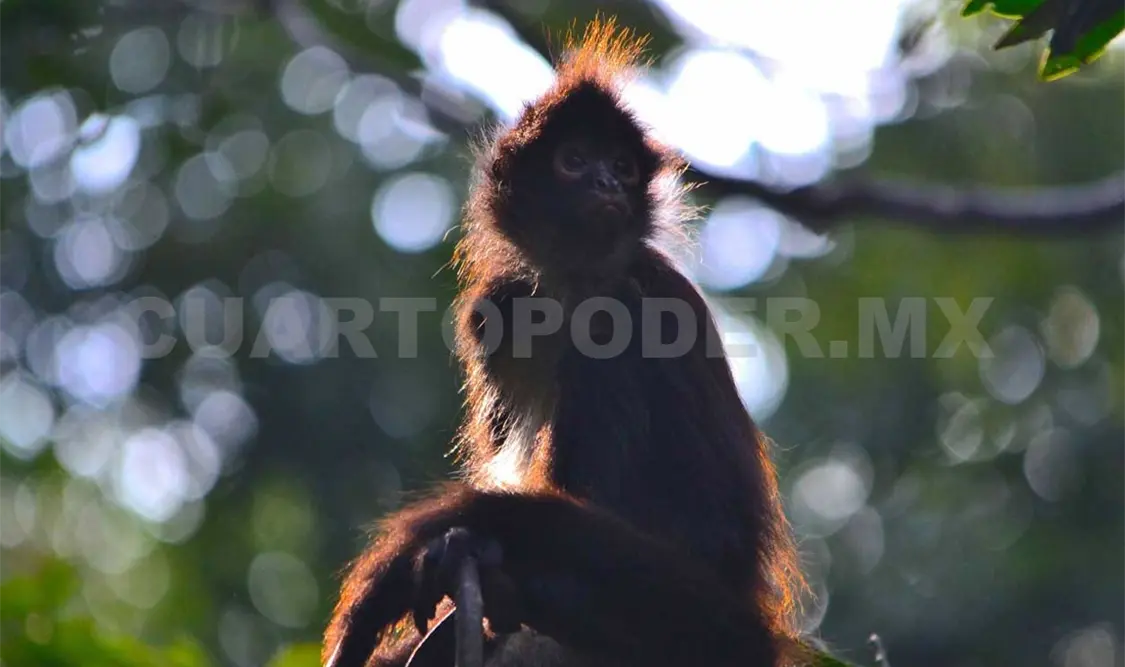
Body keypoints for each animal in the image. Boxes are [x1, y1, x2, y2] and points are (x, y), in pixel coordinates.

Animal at [323, 17, 807, 667]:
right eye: (574, 160)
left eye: (622, 167)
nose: (605, 181)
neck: (573, 289)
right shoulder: (496, 308)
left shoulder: (624, 314)